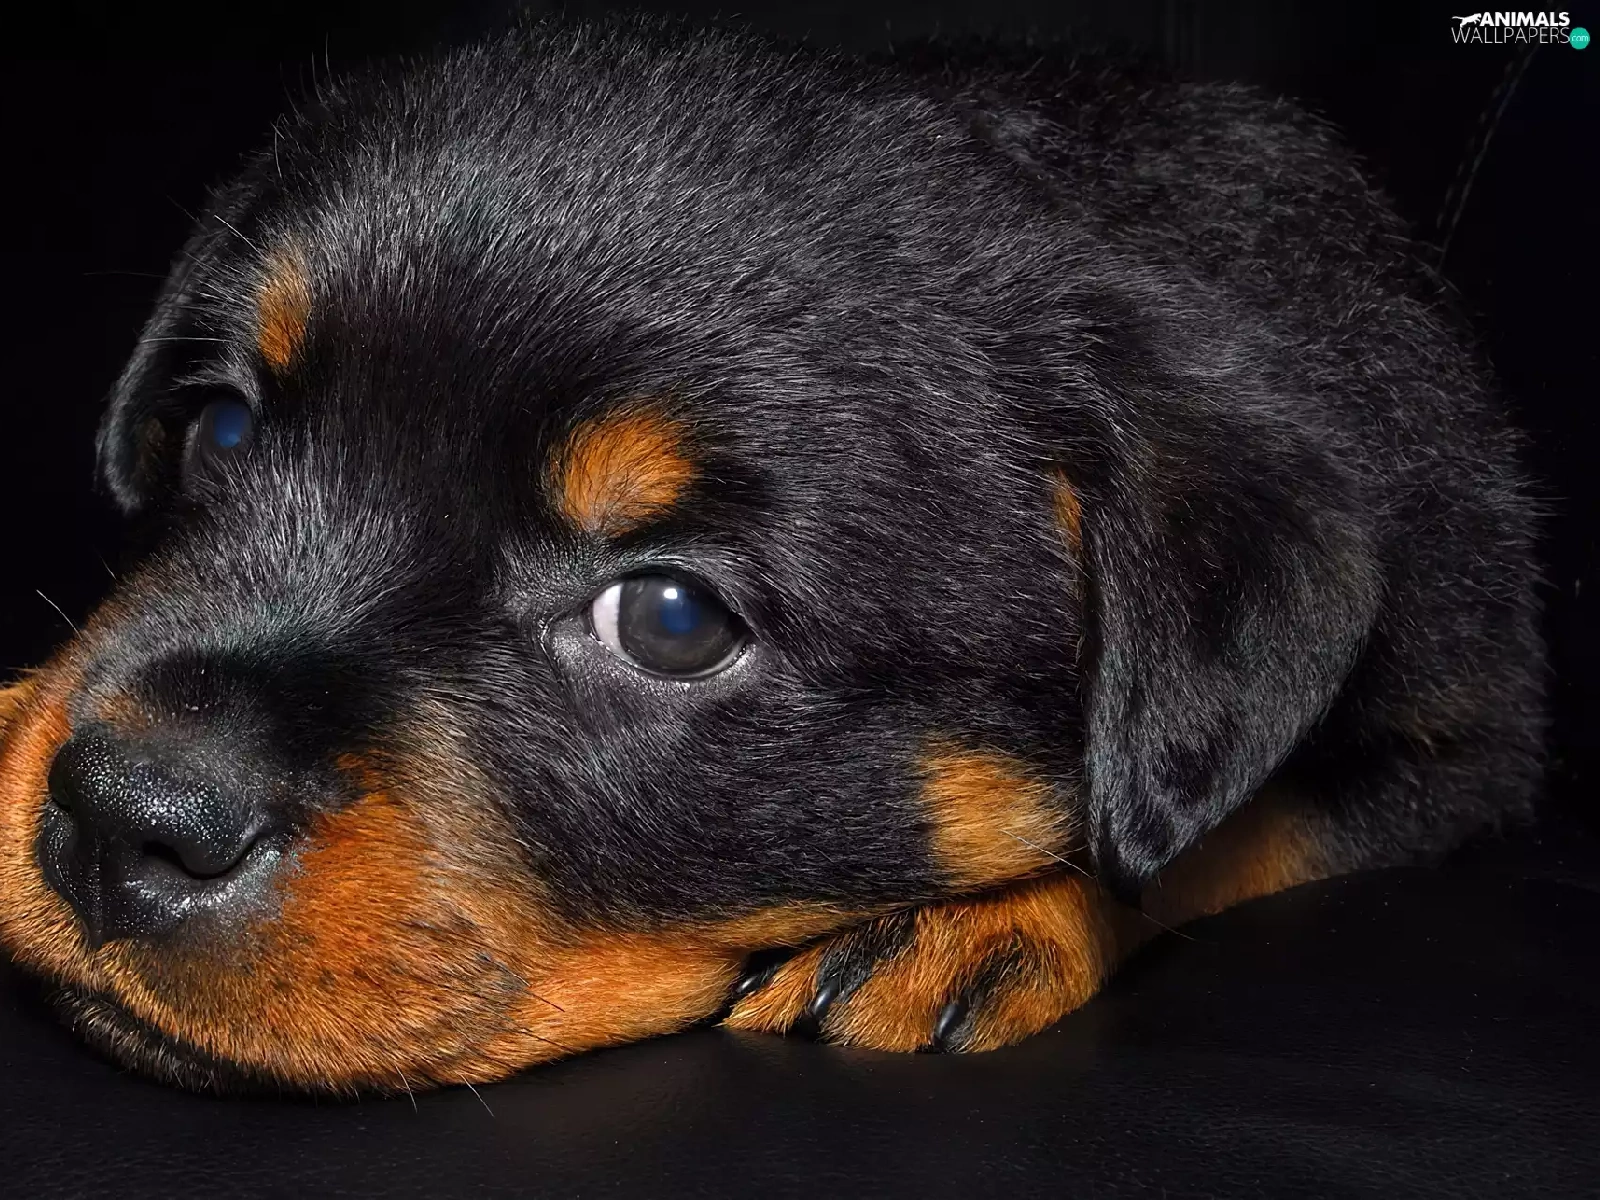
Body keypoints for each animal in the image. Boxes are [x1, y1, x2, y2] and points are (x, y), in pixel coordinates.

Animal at [0, 17, 1544, 1093]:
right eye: (222, 433)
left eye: (670, 620)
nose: (125, 815)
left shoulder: (1468, 736)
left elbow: (1224, 834)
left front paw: (981, 924)